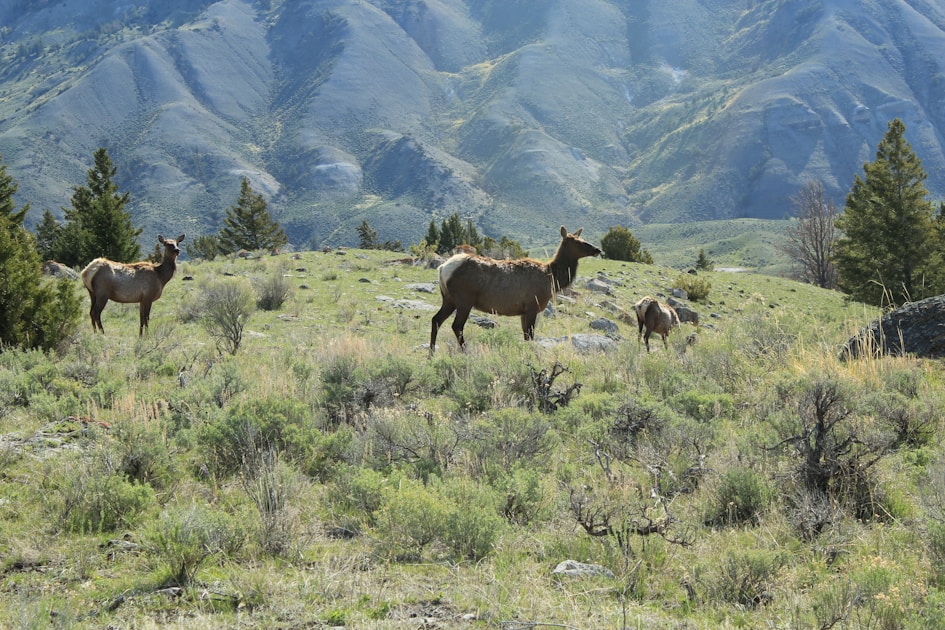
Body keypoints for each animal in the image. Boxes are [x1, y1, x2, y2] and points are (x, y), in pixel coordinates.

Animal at [430, 226, 601, 353]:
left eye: (582, 239)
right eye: (576, 242)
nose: (597, 249)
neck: (552, 279)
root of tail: (442, 268)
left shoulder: (523, 311)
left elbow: (526, 336)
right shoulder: (532, 306)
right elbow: (530, 335)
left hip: (449, 299)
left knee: (436, 320)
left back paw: (431, 353)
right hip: (464, 299)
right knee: (456, 326)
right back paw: (466, 352)